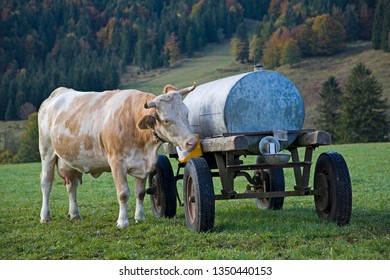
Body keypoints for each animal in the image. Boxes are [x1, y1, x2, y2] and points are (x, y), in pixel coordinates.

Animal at [38, 83, 198, 228]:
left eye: (186, 113)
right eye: (166, 120)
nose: (192, 141)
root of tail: (59, 92)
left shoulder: (143, 164)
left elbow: (140, 193)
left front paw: (140, 218)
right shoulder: (117, 162)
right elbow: (123, 193)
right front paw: (122, 221)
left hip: (70, 159)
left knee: (71, 185)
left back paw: (75, 214)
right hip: (47, 151)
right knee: (46, 183)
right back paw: (45, 216)